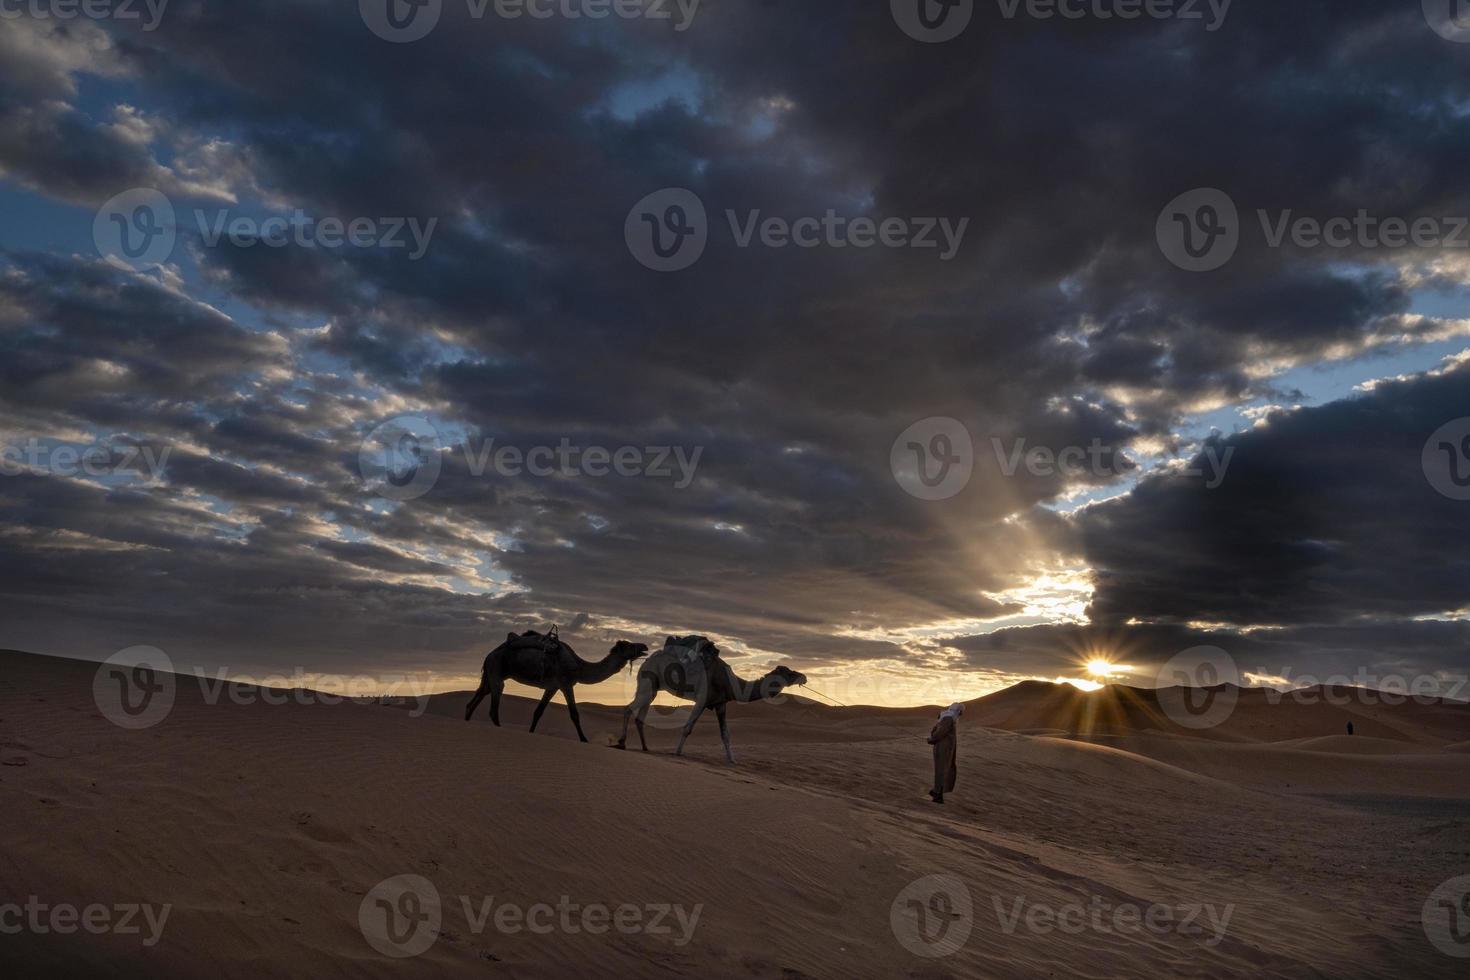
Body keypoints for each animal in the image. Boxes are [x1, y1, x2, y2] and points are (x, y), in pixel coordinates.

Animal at [458, 628, 643, 743]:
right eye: (629, 645)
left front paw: (531, 732)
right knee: (493, 707)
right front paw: (584, 739)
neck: (579, 666)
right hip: (496, 671)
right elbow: (574, 714)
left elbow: (538, 712)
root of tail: (488, 655)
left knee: (475, 699)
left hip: (490, 674)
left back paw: (467, 722)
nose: (645, 646)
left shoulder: (552, 687)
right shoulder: (566, 683)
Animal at [614, 637, 811, 764]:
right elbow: (687, 728)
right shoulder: (702, 699)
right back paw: (622, 742)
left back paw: (645, 748)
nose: (804, 677)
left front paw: (732, 760)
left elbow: (725, 734)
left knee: (640, 714)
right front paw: (677, 753)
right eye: (788, 672)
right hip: (648, 681)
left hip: (652, 687)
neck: (729, 682)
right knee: (628, 709)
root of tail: (645, 661)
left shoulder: (720, 703)